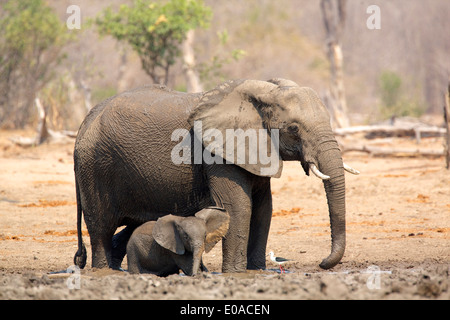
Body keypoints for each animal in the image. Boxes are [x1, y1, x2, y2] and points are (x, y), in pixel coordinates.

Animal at [73, 79, 358, 272]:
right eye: (294, 129)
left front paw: (256, 271)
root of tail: (84, 123)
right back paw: (104, 271)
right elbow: (239, 207)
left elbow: (264, 208)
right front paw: (235, 274)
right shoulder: (217, 154)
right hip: (95, 167)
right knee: (101, 228)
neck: (265, 92)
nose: (322, 263)